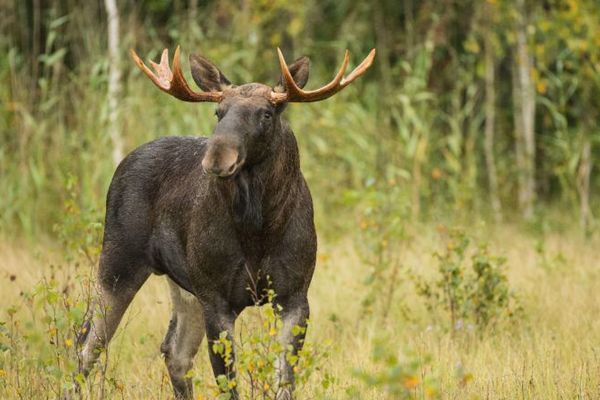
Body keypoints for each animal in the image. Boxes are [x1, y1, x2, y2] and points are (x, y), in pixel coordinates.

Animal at [77, 45, 372, 398]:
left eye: (266, 114)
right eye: (219, 112)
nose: (217, 157)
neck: (259, 230)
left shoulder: (295, 295)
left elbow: (284, 381)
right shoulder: (216, 296)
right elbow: (228, 382)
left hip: (183, 285)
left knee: (173, 351)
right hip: (120, 261)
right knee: (86, 343)